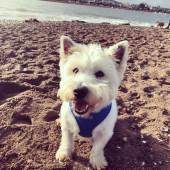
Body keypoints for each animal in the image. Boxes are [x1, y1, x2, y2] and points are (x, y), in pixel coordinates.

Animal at [56, 35, 129, 169]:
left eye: (100, 73)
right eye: (75, 70)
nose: (79, 91)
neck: (87, 116)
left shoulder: (105, 133)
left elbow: (98, 147)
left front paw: (97, 160)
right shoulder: (67, 126)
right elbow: (66, 140)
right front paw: (64, 153)